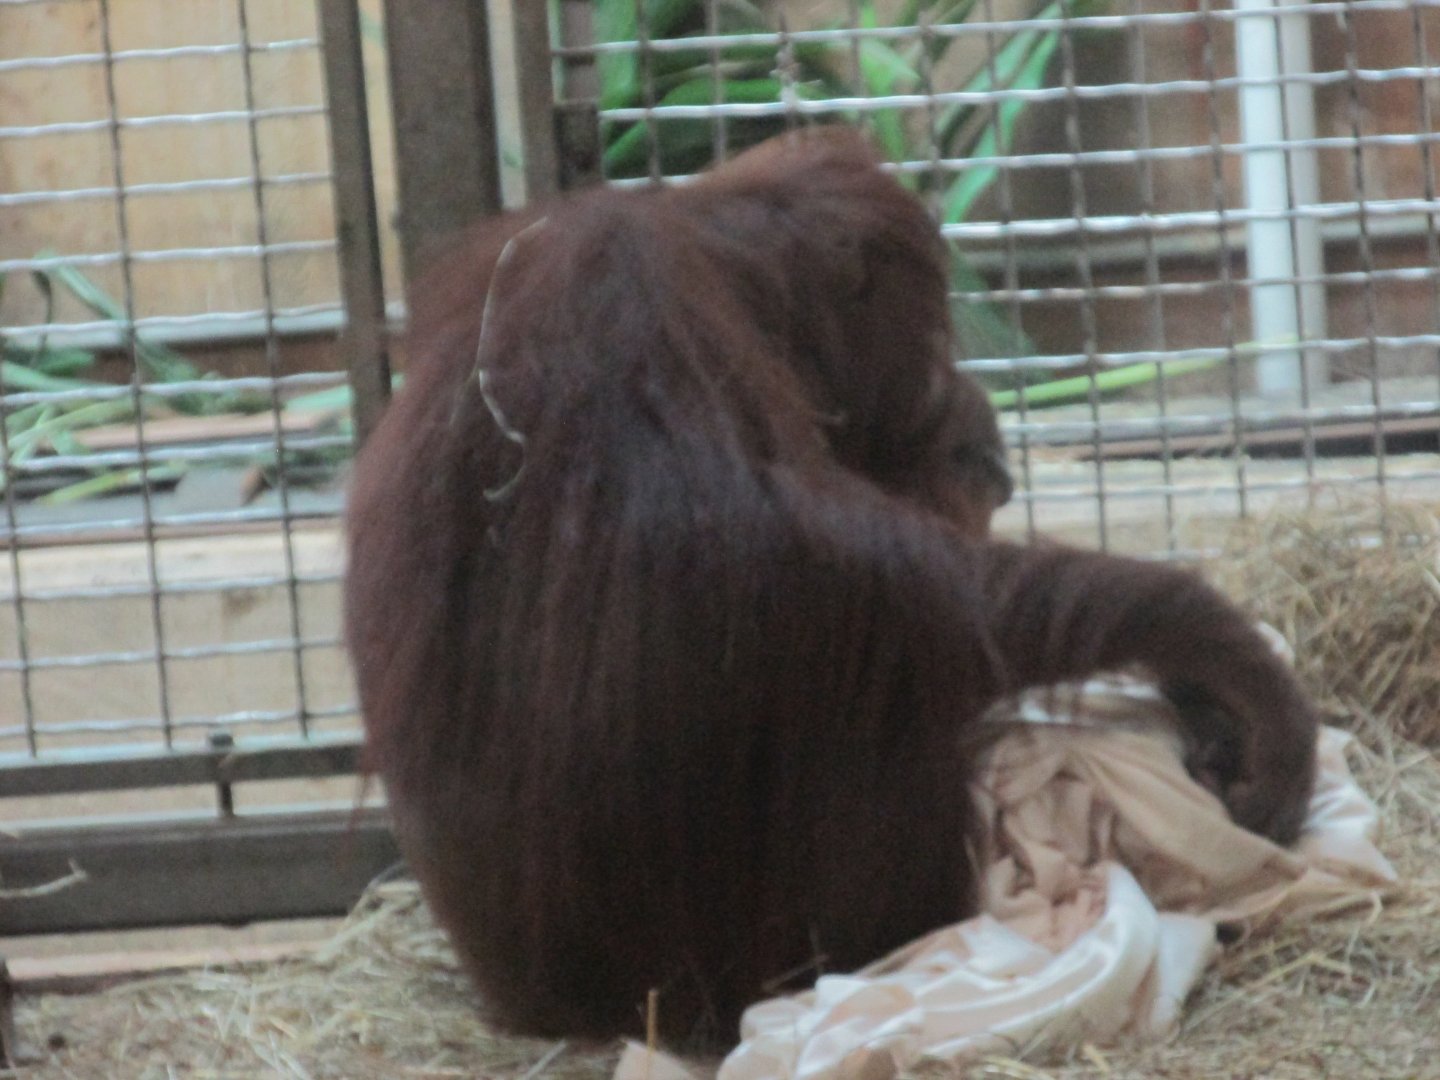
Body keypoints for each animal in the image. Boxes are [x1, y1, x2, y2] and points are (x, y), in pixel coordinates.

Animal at [344, 126, 1318, 1049]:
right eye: (928, 332)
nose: (961, 391)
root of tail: (532, 1007)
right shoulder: (622, 304)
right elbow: (758, 560)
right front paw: (1214, 647)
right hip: (702, 964)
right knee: (879, 673)